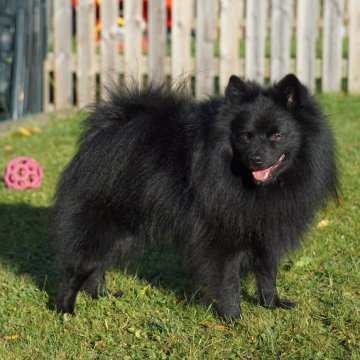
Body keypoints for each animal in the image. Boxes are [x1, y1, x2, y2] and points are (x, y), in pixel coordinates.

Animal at [52, 74, 338, 320]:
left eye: (277, 135)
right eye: (245, 136)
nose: (255, 160)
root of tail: (109, 126)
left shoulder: (264, 231)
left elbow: (268, 274)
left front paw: (272, 304)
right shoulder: (224, 235)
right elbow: (228, 281)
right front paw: (233, 318)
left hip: (128, 231)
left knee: (98, 265)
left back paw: (102, 295)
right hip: (106, 223)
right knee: (78, 267)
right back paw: (65, 310)